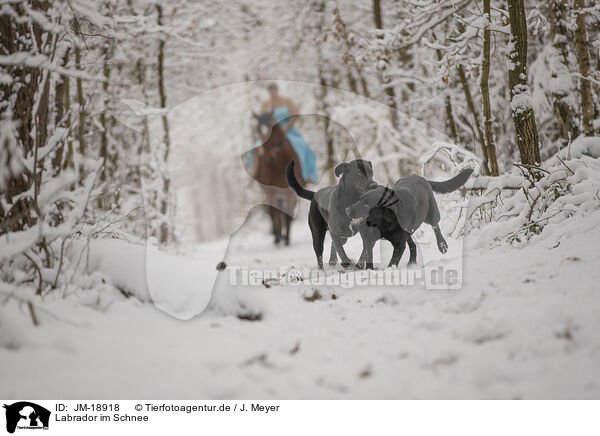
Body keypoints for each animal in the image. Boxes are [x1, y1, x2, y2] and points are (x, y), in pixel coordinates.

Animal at [251, 110, 304, 245]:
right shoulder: (272, 193)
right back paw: (277, 235)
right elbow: (276, 213)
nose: (268, 156)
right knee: (274, 212)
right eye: (258, 130)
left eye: (272, 128)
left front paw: (287, 239)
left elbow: (287, 214)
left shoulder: (290, 193)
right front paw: (279, 237)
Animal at [346, 169, 474, 266]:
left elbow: (392, 262)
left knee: (435, 225)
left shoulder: (399, 245)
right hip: (408, 231)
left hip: (430, 214)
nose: (347, 210)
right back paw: (412, 262)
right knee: (412, 244)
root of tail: (420, 177)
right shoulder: (370, 239)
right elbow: (365, 255)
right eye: (359, 199)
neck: (385, 223)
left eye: (366, 204)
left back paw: (442, 245)